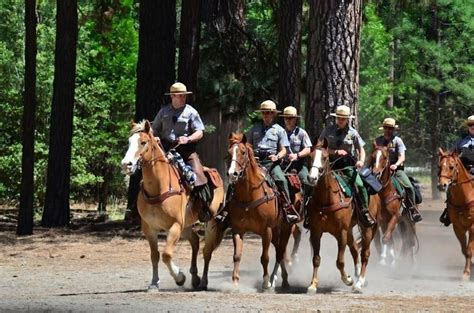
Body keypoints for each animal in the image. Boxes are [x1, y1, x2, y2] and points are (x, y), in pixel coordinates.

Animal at [122, 120, 226, 290]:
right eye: (129, 142)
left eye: (143, 142)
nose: (126, 164)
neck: (159, 187)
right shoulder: (149, 228)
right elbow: (155, 255)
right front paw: (154, 283)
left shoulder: (175, 226)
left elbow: (166, 254)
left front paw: (179, 277)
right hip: (186, 225)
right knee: (195, 242)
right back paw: (195, 278)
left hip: (210, 222)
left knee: (207, 251)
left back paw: (203, 281)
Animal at [224, 132, 298, 290]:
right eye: (229, 152)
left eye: (243, 152)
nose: (232, 173)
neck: (249, 195)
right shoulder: (238, 229)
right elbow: (237, 256)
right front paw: (235, 282)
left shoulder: (267, 230)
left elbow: (265, 257)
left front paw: (265, 282)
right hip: (276, 231)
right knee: (280, 251)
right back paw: (282, 280)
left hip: (286, 227)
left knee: (280, 252)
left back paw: (280, 281)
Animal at [306, 139, 380, 292]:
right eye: (309, 157)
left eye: (324, 157)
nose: (312, 178)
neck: (327, 199)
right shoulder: (316, 232)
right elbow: (316, 259)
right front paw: (313, 284)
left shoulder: (342, 232)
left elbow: (339, 261)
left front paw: (348, 280)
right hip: (350, 230)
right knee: (355, 249)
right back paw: (357, 275)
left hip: (367, 228)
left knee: (365, 253)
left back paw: (359, 283)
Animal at [436, 147, 474, 280]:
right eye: (439, 166)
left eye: (451, 167)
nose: (441, 185)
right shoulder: (458, 227)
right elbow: (464, 250)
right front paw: (468, 269)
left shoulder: (473, 227)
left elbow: (469, 250)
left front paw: (466, 273)